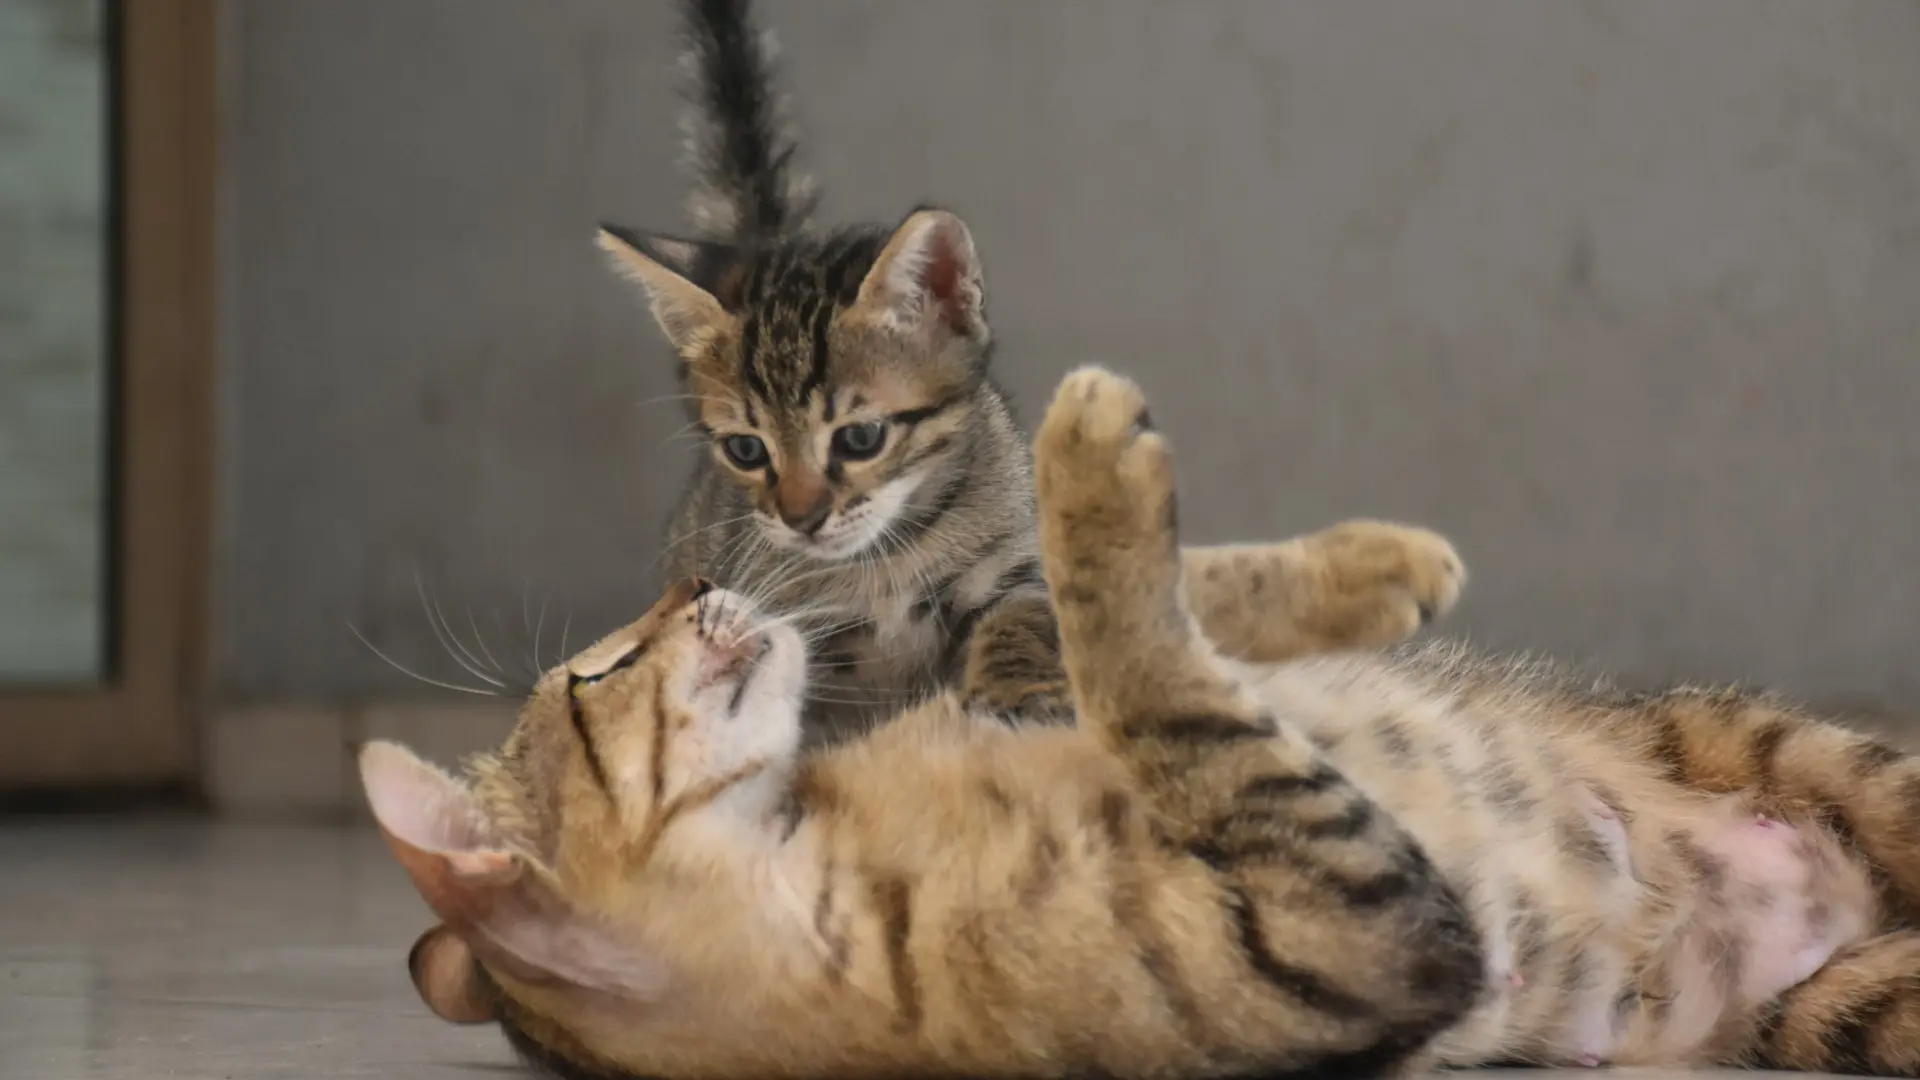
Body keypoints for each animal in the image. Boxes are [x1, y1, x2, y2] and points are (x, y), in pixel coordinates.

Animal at [370, 367, 1920, 1076]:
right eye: (595, 674)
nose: (695, 579)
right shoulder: (1348, 920)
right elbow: (1160, 684)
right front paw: (1085, 456)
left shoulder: (1003, 690)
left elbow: (1097, 623)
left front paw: (1365, 569)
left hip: (1807, 767)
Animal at [599, 0, 1451, 734]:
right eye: (747, 450)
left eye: (861, 439)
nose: (801, 519)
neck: (889, 561)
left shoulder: (1017, 563)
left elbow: (1022, 616)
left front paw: (1013, 689)